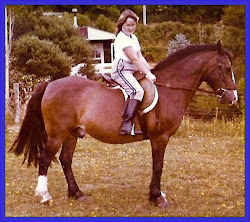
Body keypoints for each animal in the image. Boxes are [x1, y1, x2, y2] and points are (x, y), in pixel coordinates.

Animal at [9, 41, 238, 208]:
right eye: (227, 68)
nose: (233, 98)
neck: (169, 89)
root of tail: (50, 84)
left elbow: (156, 166)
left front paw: (155, 195)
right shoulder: (160, 138)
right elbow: (158, 167)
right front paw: (157, 198)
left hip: (72, 134)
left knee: (66, 160)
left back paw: (77, 194)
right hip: (57, 134)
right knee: (45, 159)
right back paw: (45, 196)